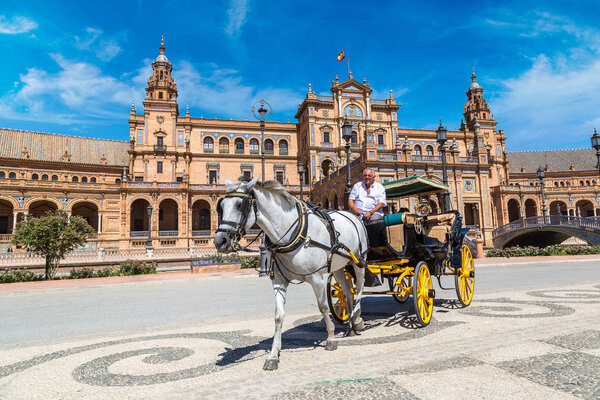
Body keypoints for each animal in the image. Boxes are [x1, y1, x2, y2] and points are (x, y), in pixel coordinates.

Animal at [213, 177, 368, 370]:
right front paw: (273, 355)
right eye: (221, 206)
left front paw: (331, 338)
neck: (291, 235)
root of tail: (353, 215)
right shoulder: (279, 281)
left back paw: (357, 319)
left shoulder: (316, 279)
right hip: (338, 266)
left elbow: (323, 307)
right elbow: (278, 316)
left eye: (240, 205)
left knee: (359, 289)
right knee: (347, 291)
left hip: (359, 261)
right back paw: (351, 324)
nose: (220, 241)